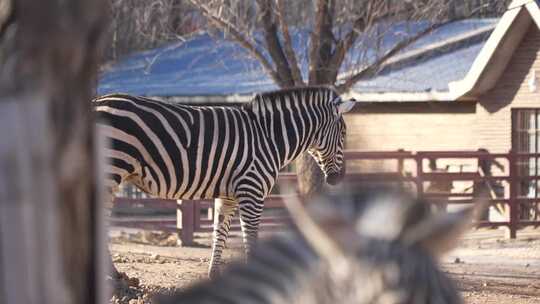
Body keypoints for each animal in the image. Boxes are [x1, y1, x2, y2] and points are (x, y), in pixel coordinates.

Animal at [94, 85, 354, 276]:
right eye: (343, 134)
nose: (339, 178)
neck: (268, 138)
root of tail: (98, 100)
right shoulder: (252, 191)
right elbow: (250, 237)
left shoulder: (228, 195)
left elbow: (219, 233)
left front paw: (213, 275)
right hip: (111, 168)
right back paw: (111, 275)